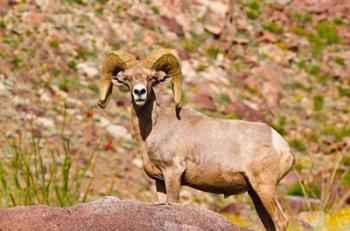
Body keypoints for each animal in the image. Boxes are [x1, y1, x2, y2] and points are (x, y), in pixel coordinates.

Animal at [98, 49, 296, 230]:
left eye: (152, 78)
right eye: (128, 78)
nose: (140, 92)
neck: (154, 127)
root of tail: (284, 147)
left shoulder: (173, 173)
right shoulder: (160, 181)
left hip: (264, 188)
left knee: (281, 221)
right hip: (255, 193)